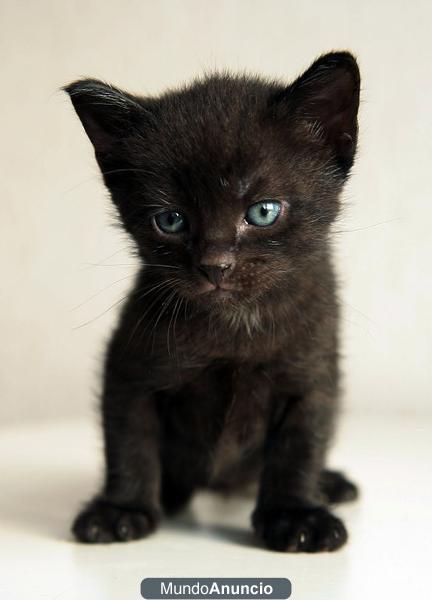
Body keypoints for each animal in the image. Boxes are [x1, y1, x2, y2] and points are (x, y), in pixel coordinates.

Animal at [65, 51, 362, 552]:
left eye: (263, 211)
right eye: (170, 220)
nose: (215, 265)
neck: (233, 327)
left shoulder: (312, 376)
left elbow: (301, 446)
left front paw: (296, 515)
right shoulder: (130, 370)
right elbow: (129, 441)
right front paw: (123, 508)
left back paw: (331, 483)